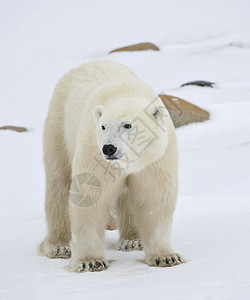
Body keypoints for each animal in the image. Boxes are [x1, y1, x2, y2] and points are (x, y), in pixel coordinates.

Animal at [38, 59, 184, 270]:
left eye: (128, 125)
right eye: (103, 126)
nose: (109, 148)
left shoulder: (155, 159)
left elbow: (154, 199)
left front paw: (166, 257)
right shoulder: (93, 151)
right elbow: (90, 196)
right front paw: (90, 261)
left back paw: (132, 240)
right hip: (59, 126)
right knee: (58, 184)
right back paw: (59, 246)